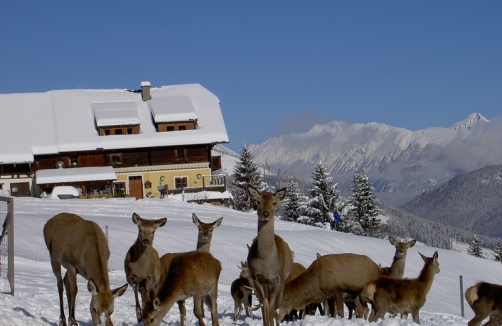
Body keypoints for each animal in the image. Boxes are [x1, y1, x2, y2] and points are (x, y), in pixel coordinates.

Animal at [245, 185, 292, 326]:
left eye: (274, 202)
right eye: (257, 201)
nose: (265, 213)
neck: (266, 263)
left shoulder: (279, 278)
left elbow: (273, 307)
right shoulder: (256, 277)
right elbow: (264, 305)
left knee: (275, 305)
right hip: (266, 284)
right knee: (266, 303)